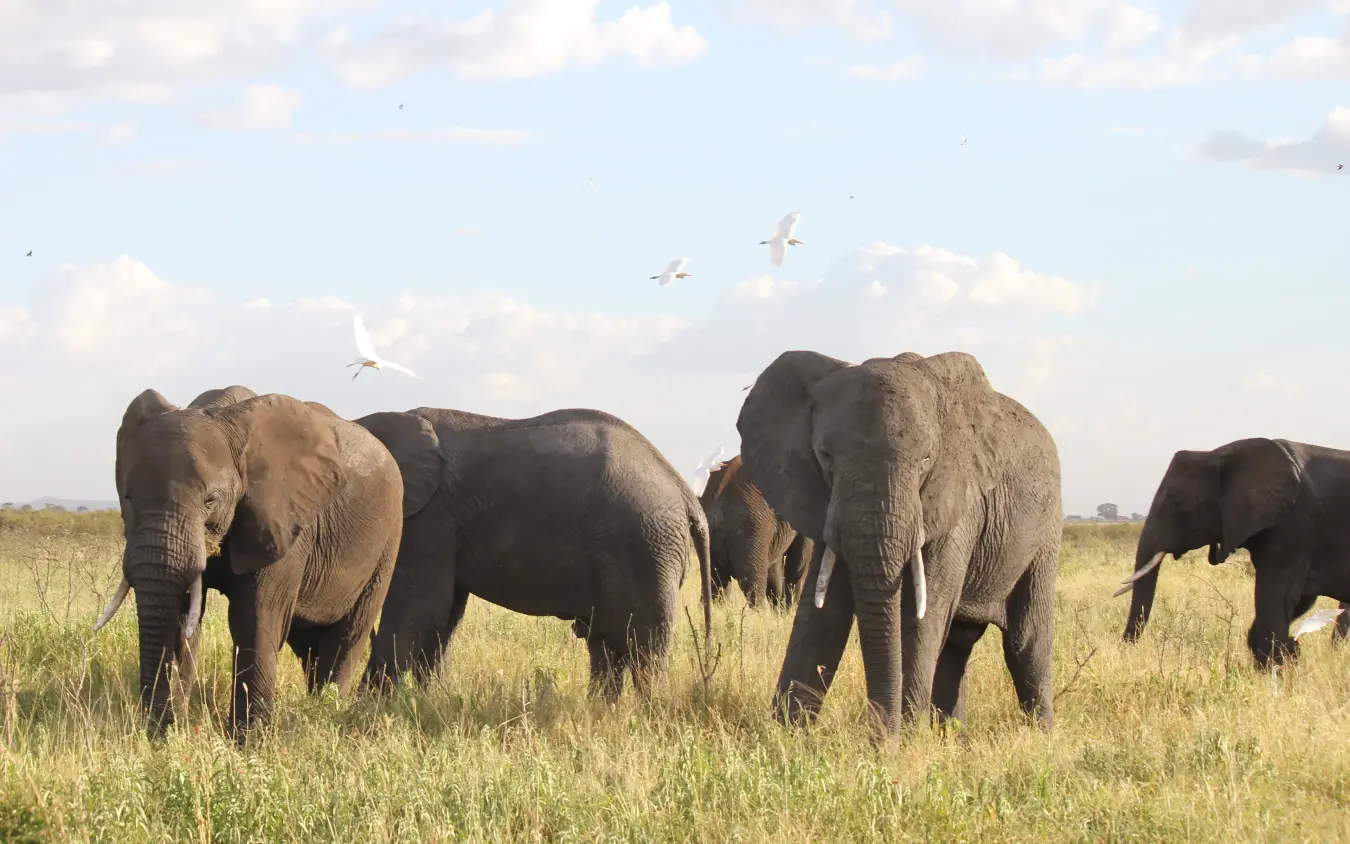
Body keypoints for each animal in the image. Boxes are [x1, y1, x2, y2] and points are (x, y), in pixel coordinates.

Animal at [93, 384, 404, 740]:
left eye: (210, 500)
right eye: (128, 498)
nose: (159, 732)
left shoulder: (285, 521)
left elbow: (254, 617)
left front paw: (248, 742)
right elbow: (181, 617)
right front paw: (173, 734)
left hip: (388, 540)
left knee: (347, 637)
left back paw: (326, 712)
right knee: (308, 642)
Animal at [355, 406, 713, 699]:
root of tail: (685, 493)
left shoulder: (429, 518)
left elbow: (418, 609)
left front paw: (366, 711)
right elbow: (443, 616)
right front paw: (432, 702)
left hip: (645, 544)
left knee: (642, 644)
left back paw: (650, 712)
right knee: (607, 644)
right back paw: (602, 712)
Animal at [737, 350, 1062, 737]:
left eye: (926, 459)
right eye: (824, 455)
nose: (879, 737)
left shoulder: (957, 498)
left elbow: (922, 614)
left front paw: (904, 741)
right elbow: (823, 614)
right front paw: (786, 736)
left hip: (1045, 532)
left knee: (1025, 642)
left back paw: (1041, 738)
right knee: (957, 645)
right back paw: (953, 740)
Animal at [1114, 437, 1350, 664]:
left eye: (1176, 503)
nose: (1123, 650)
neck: (1220, 455)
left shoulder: (1294, 524)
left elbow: (1275, 597)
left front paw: (1278, 665)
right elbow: (1298, 600)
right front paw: (1290, 654)